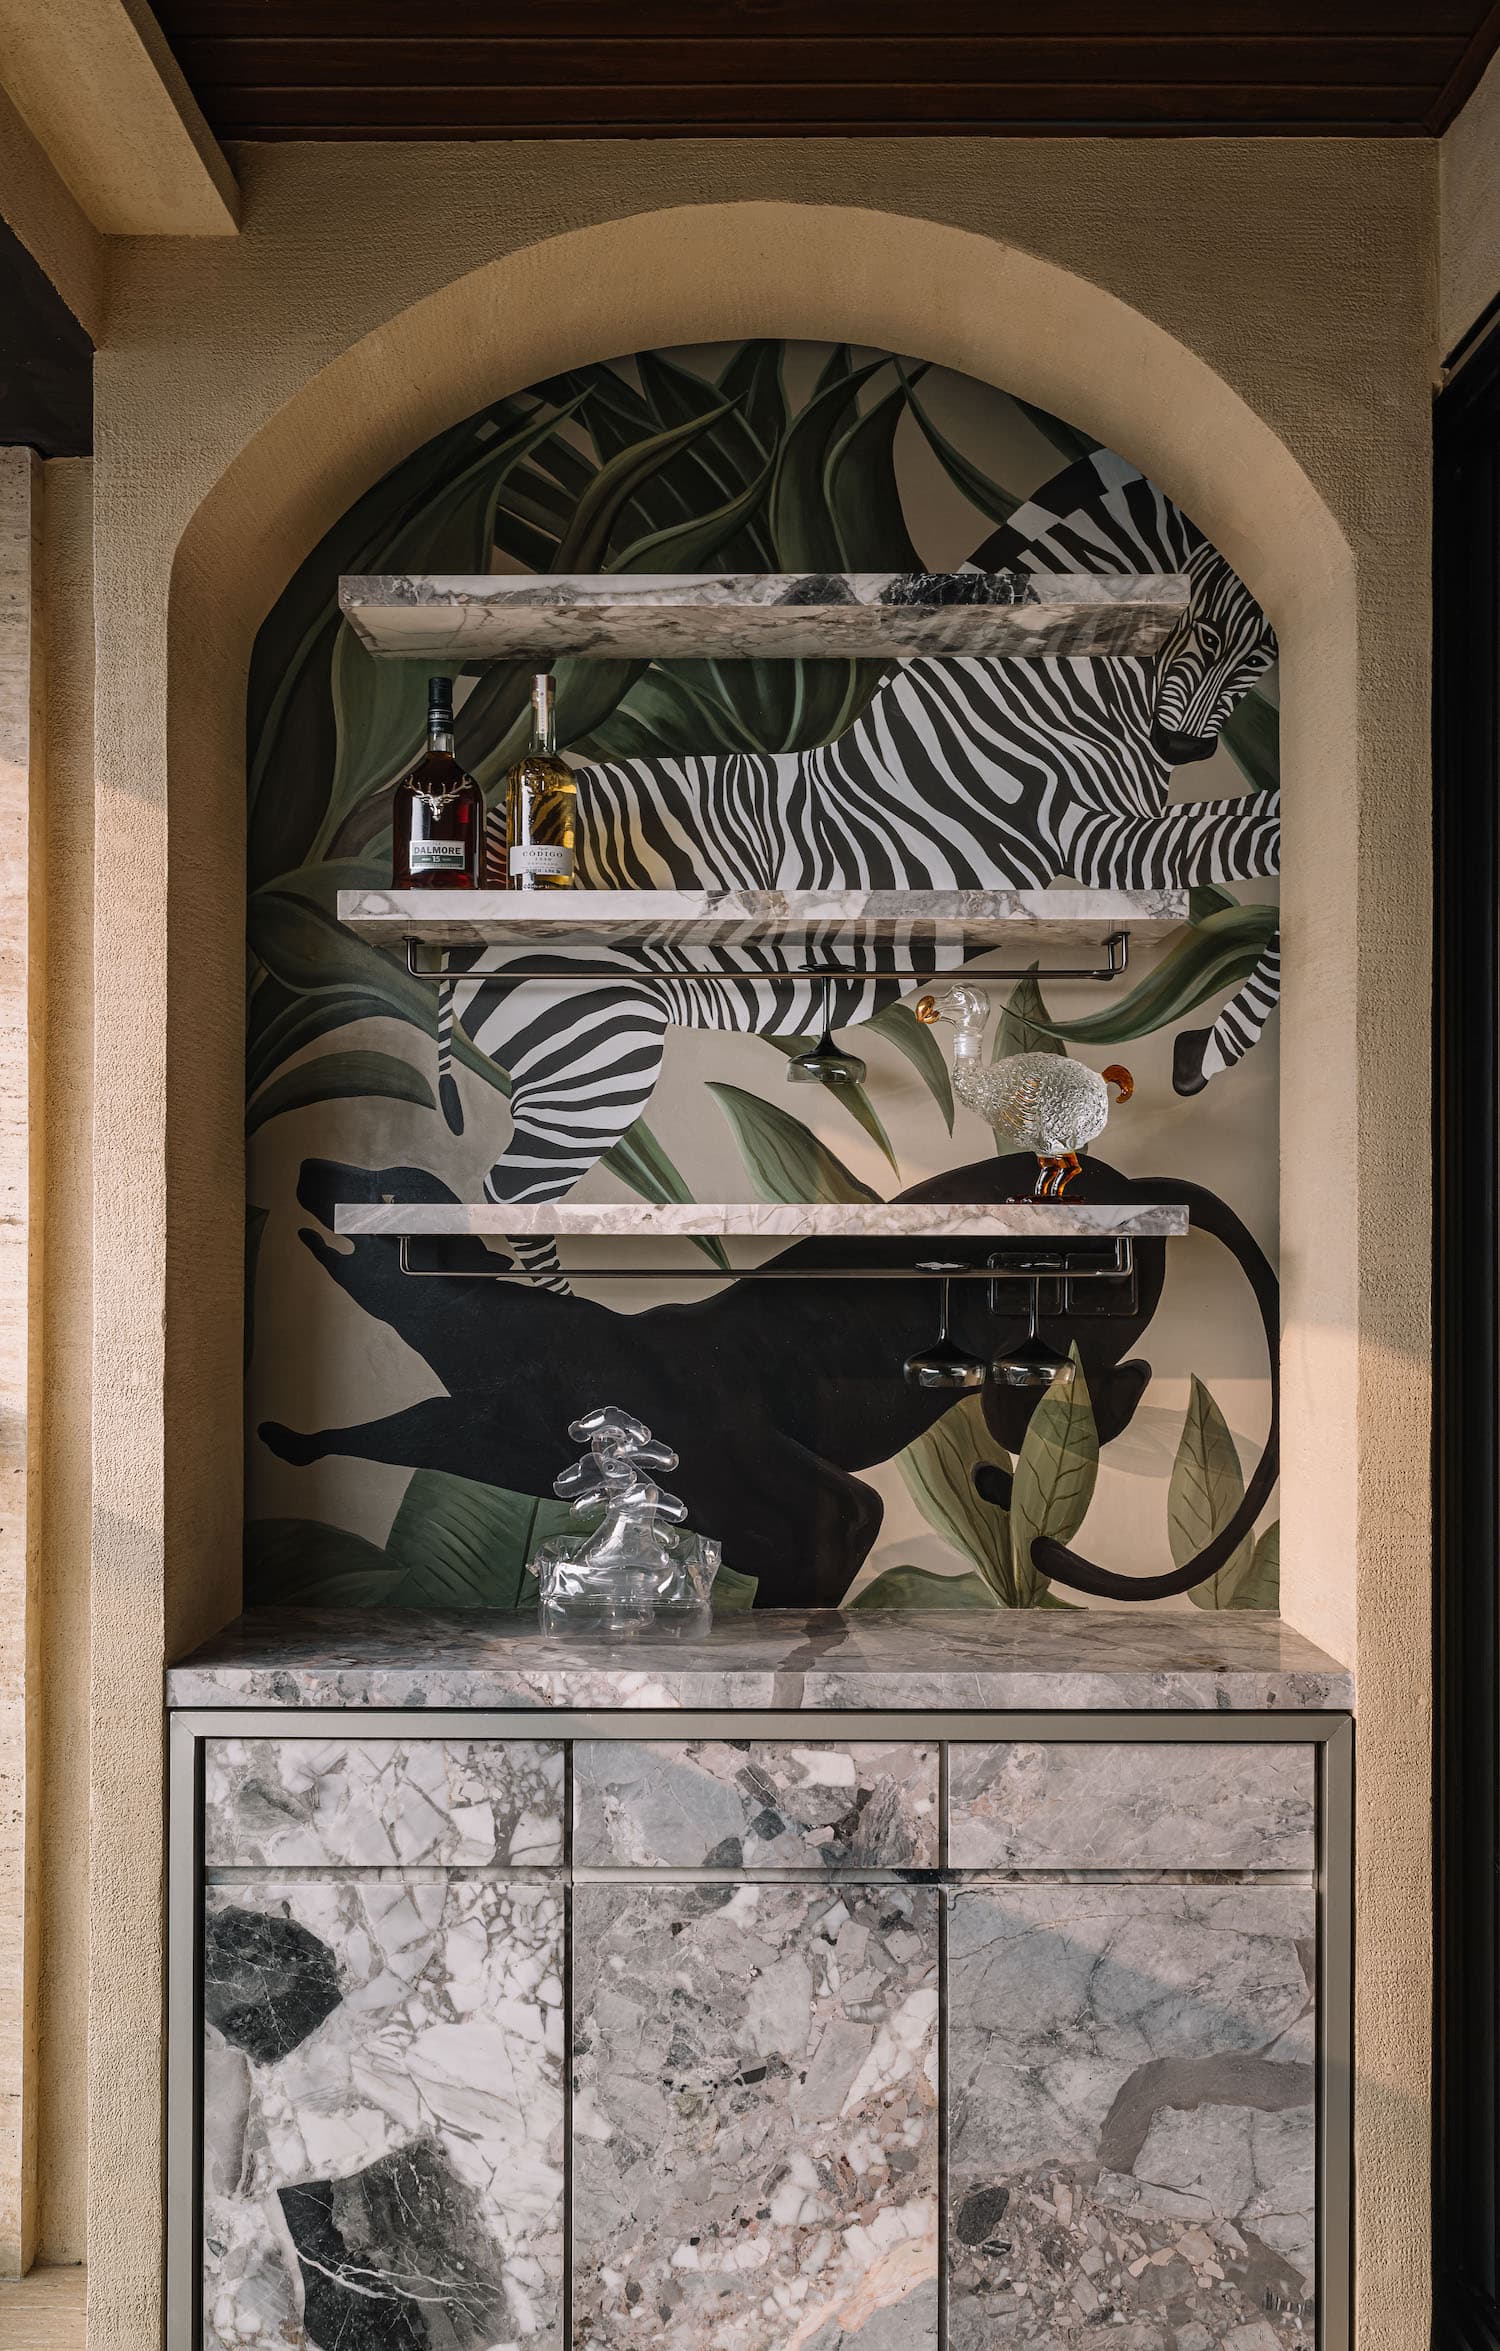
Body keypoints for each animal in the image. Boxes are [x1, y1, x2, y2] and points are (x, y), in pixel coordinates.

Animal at [436, 450, 1280, 1285]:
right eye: (1203, 629)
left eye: (1267, 652)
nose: (1183, 748)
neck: (1056, 688)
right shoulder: (1097, 834)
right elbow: (1262, 842)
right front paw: (1208, 1048)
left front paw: (1203, 1048)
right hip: (596, 1040)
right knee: (509, 1196)